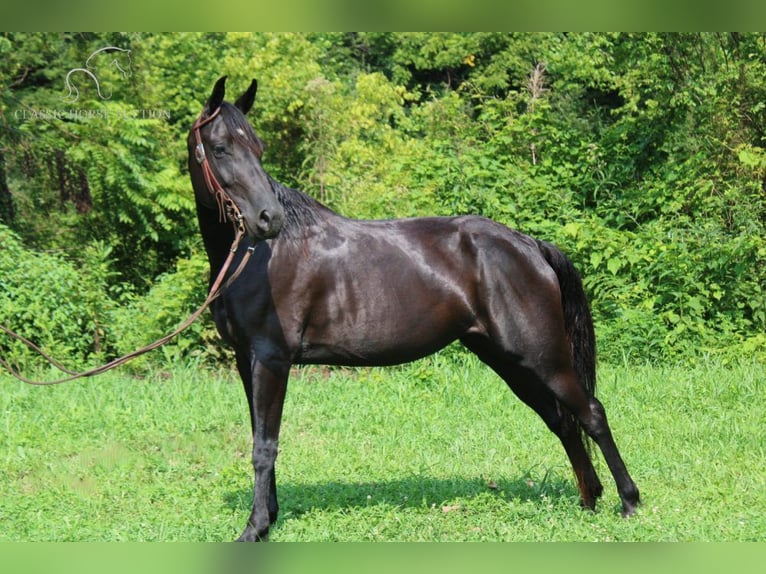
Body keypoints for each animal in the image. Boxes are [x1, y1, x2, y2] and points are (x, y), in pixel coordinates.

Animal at [189, 77, 640, 544]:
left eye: (258, 148)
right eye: (220, 148)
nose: (268, 219)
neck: (259, 257)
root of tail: (529, 245)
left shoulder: (271, 360)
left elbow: (265, 445)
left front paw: (254, 528)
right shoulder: (247, 361)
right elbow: (261, 437)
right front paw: (268, 518)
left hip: (543, 356)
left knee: (591, 413)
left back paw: (629, 501)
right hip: (509, 361)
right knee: (562, 421)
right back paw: (589, 498)